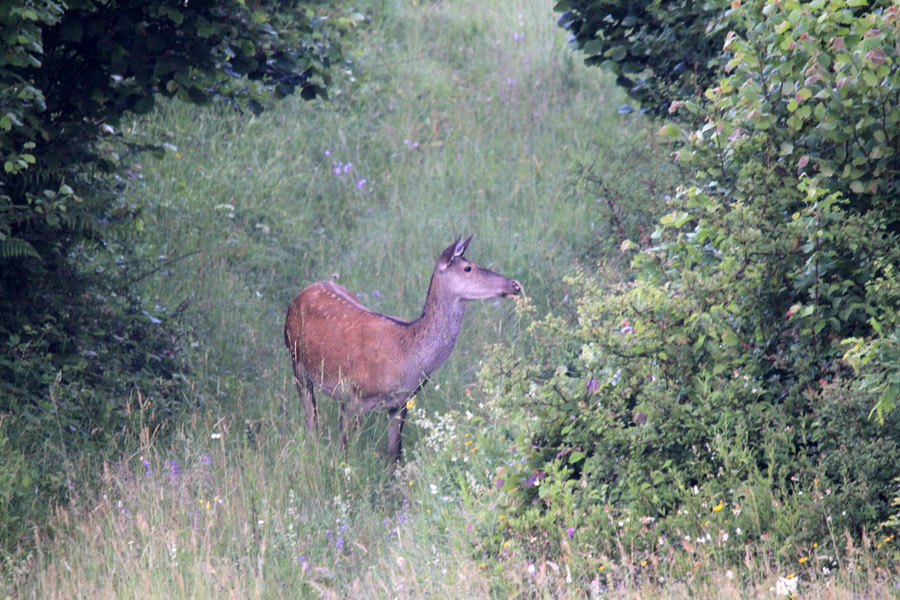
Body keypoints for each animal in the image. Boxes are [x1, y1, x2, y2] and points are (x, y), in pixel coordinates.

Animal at [284, 237, 516, 462]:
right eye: (468, 268)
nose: (514, 285)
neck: (405, 360)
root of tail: (303, 291)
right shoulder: (355, 395)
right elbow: (343, 451)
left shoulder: (401, 402)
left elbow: (395, 455)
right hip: (296, 361)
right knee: (311, 419)